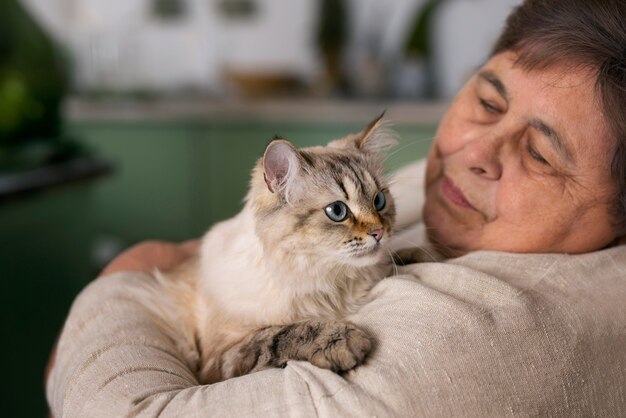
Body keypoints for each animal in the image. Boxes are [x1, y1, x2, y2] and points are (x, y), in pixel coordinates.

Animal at [158, 114, 398, 382]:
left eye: (379, 201)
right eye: (337, 211)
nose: (379, 233)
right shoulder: (223, 357)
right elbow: (282, 333)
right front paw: (342, 340)